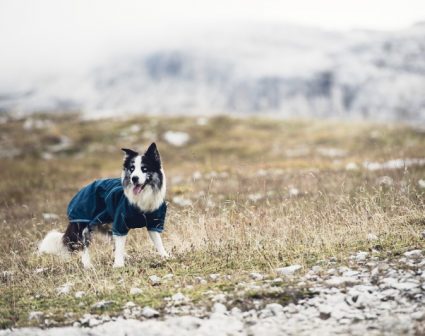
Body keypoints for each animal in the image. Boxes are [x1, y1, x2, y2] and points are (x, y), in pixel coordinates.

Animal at [37, 143, 167, 270]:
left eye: (144, 169)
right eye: (132, 169)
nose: (134, 178)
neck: (143, 196)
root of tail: (83, 189)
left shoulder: (154, 223)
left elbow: (159, 242)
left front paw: (165, 257)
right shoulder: (120, 224)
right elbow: (119, 245)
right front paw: (118, 265)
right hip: (84, 227)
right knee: (84, 247)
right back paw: (88, 265)